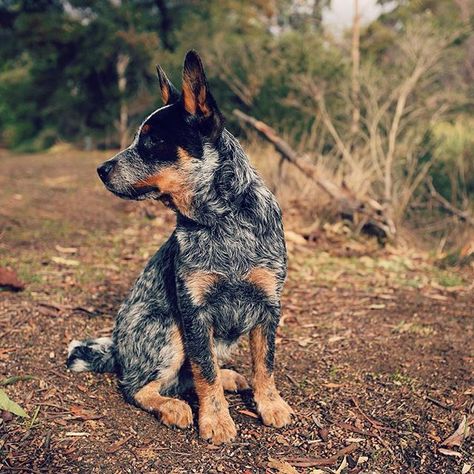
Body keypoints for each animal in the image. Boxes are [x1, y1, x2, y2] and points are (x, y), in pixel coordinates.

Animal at [67, 51, 292, 444]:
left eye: (153, 141)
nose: (101, 169)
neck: (223, 221)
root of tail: (116, 349)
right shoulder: (193, 311)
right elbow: (204, 371)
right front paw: (216, 420)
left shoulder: (268, 304)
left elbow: (265, 364)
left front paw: (271, 404)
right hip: (168, 328)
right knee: (138, 387)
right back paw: (174, 407)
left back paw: (230, 377)